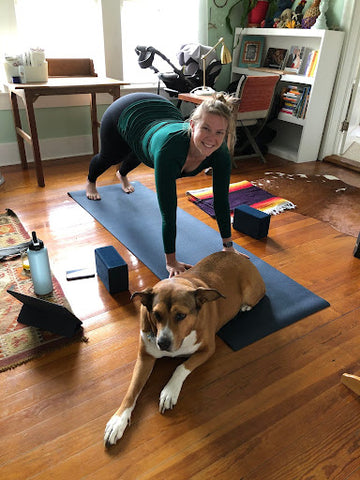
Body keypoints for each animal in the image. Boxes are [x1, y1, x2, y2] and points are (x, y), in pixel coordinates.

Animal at [104, 251, 264, 446]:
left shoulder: (208, 349)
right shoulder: (145, 357)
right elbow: (132, 390)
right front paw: (118, 421)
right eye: (156, 314)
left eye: (181, 315)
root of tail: (236, 254)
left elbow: (181, 367)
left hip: (251, 292)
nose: (162, 343)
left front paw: (169, 391)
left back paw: (245, 306)